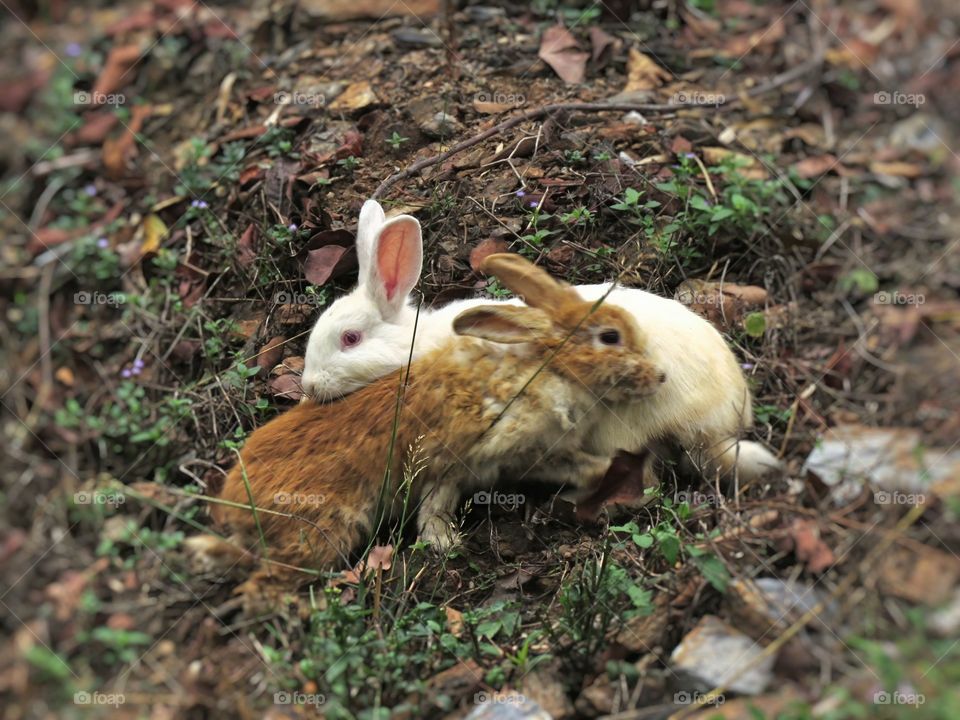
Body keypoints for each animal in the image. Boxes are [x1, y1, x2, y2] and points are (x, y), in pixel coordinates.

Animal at [188, 255, 668, 608]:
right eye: (610, 337)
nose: (660, 376)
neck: (548, 365)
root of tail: (236, 506)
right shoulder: (504, 452)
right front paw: (447, 543)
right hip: (320, 533)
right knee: (264, 583)